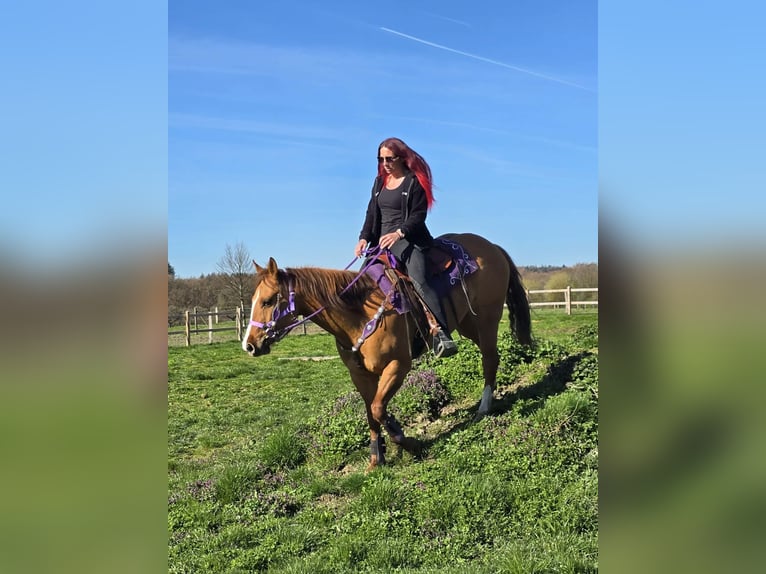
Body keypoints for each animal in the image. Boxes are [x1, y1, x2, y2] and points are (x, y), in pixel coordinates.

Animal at [242, 233, 532, 472]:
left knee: (490, 359)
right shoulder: (360, 375)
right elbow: (371, 412)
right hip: (468, 323)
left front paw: (407, 441)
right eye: (253, 300)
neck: (360, 312)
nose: (250, 345)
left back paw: (484, 407)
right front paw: (376, 458)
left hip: (487, 319)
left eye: (268, 301)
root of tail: (491, 246)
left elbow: (379, 408)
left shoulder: (398, 366)